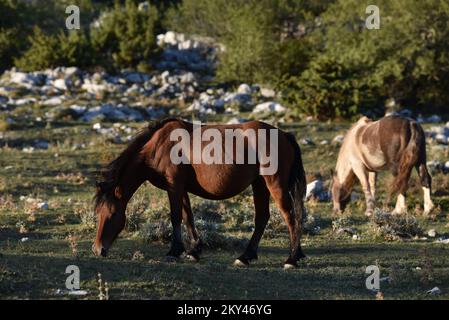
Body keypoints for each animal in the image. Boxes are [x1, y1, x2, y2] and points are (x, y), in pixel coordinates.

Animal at [91, 117, 308, 268]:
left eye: (112, 214)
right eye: (98, 213)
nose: (97, 249)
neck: (159, 145)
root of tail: (284, 135)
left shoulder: (174, 186)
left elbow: (175, 217)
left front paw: (173, 251)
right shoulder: (181, 188)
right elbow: (188, 217)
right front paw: (194, 250)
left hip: (275, 185)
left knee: (291, 217)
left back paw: (291, 259)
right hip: (260, 184)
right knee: (263, 218)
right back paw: (246, 257)